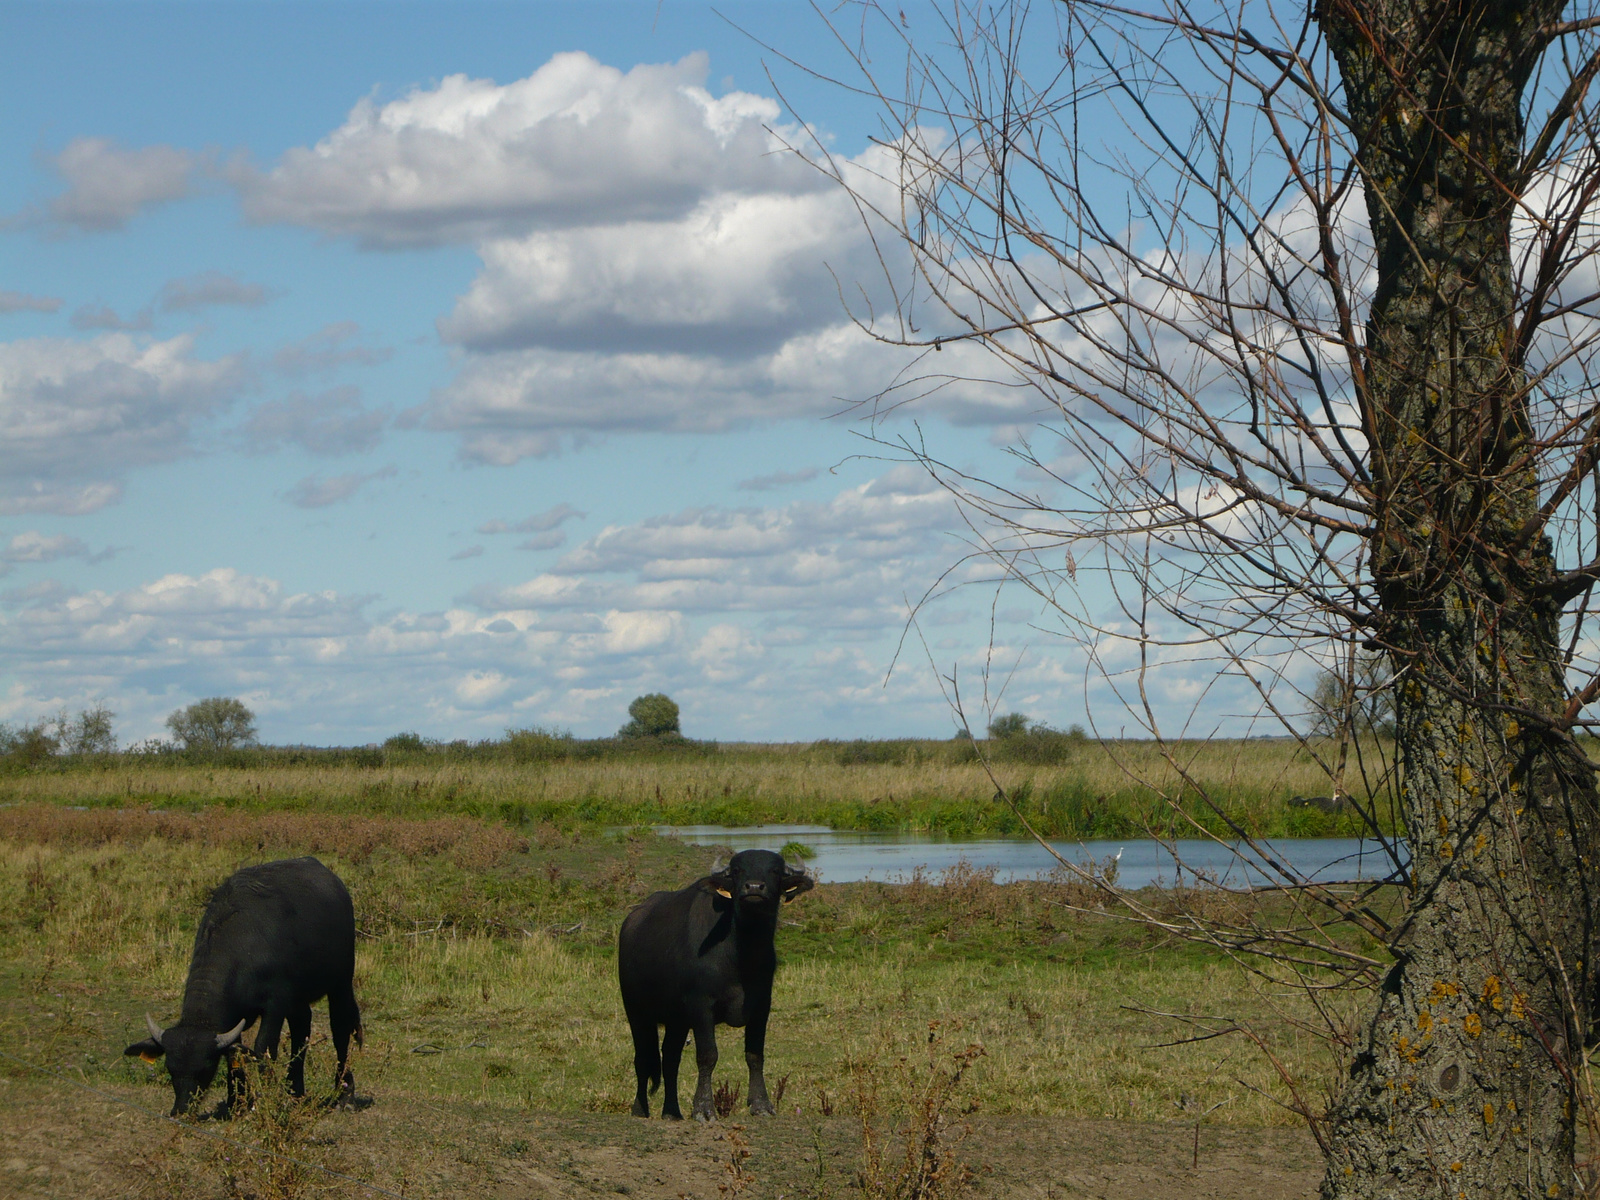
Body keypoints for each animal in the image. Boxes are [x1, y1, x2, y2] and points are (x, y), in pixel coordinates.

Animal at [123, 857, 364, 1120]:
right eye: (170, 1068)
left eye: (205, 1068)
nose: (181, 1110)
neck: (242, 948)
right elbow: (234, 1054)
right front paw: (236, 1102)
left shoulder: (275, 1004)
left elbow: (264, 1048)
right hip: (299, 999)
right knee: (302, 1029)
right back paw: (295, 1092)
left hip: (341, 981)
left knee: (341, 1027)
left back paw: (345, 1095)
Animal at [611, 851, 812, 1126]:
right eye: (737, 870)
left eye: (775, 870)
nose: (754, 888)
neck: (741, 955)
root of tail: (631, 923)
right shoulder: (701, 1006)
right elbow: (708, 1056)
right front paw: (704, 1109)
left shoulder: (762, 1006)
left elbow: (755, 1055)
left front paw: (761, 1104)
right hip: (637, 1012)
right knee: (643, 1058)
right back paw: (640, 1109)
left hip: (677, 1020)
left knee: (670, 1058)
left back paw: (671, 1111)